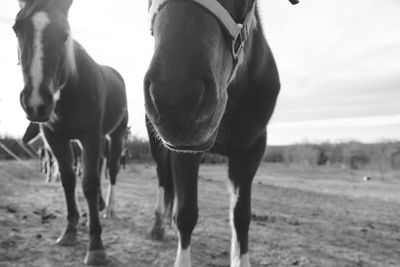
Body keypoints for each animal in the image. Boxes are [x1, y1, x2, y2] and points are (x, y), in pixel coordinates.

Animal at [12, 0, 128, 264]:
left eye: (65, 34)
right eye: (16, 28)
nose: (36, 102)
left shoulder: (91, 135)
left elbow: (90, 183)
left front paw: (96, 245)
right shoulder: (55, 138)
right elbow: (68, 179)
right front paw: (70, 231)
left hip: (114, 136)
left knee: (112, 170)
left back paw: (110, 207)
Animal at [144, 0, 296, 266]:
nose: (176, 100)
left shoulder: (251, 150)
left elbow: (241, 217)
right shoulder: (184, 152)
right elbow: (186, 215)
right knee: (164, 182)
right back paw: (158, 226)